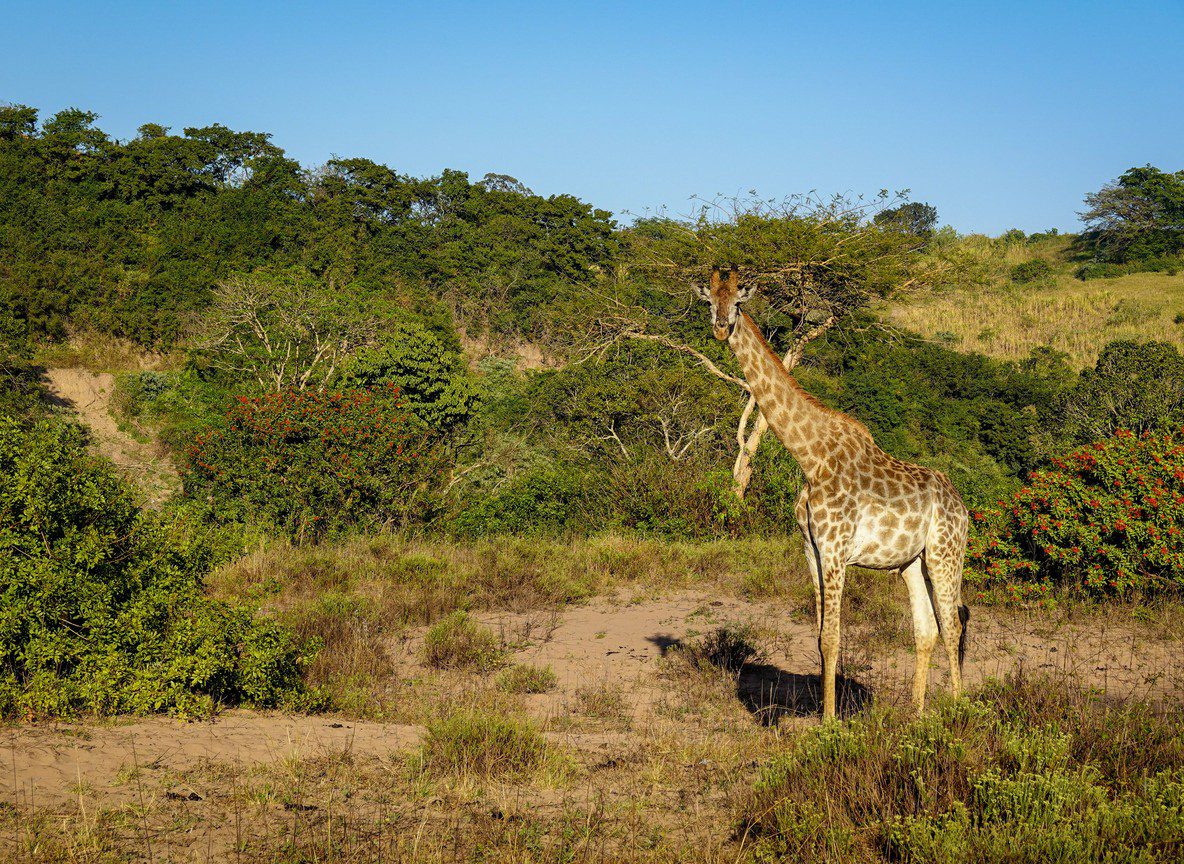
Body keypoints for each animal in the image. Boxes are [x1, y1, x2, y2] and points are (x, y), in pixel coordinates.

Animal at [698, 266, 969, 720]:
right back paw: (916, 714)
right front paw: (827, 715)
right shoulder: (811, 549)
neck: (811, 457)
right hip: (911, 562)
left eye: (737, 302)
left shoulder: (836, 549)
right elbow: (821, 635)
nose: (720, 327)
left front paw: (830, 724)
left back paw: (957, 710)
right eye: (709, 301)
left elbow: (833, 638)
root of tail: (963, 507)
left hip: (945, 554)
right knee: (927, 629)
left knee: (953, 624)